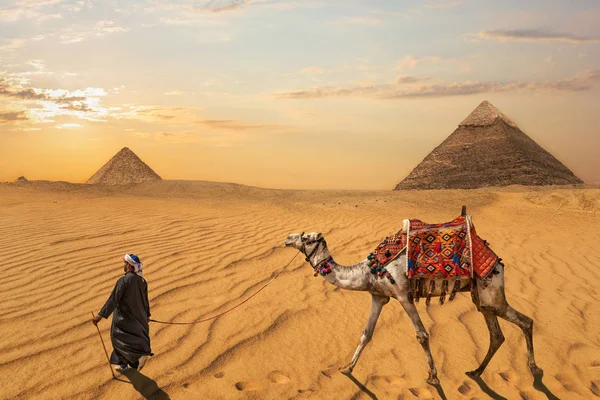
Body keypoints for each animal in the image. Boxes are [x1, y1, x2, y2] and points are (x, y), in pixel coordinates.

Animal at [284, 225, 540, 384]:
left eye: (305, 237)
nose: (287, 238)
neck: (369, 271)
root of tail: (498, 260)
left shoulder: (403, 295)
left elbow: (422, 335)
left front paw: (433, 376)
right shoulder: (378, 297)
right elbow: (366, 334)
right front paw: (347, 368)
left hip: (492, 293)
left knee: (525, 321)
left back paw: (534, 369)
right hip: (483, 299)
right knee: (497, 334)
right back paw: (476, 372)